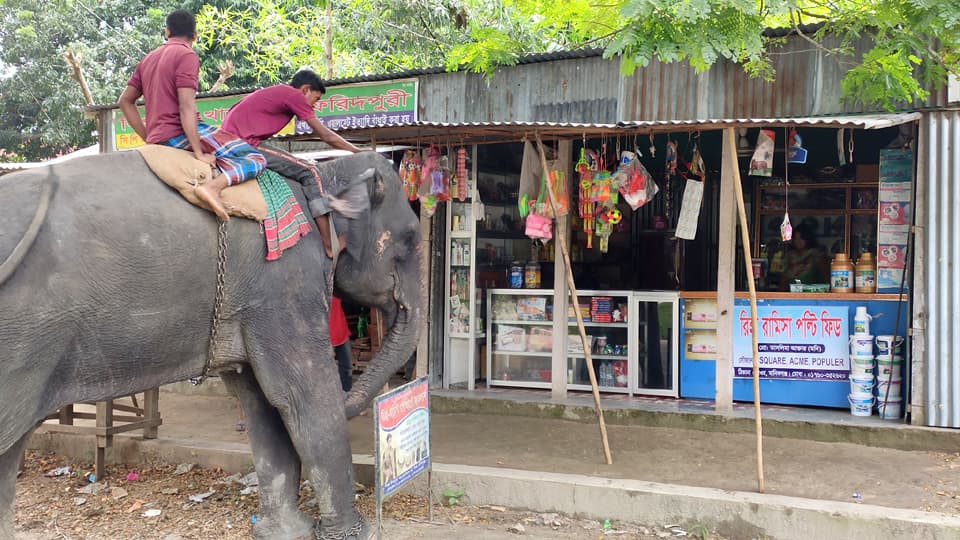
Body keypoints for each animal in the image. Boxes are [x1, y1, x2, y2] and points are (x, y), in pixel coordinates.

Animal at [0, 149, 424, 540]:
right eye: (411, 237)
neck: (325, 174)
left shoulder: (257, 300)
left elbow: (260, 403)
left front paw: (285, 533)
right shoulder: (284, 281)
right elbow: (302, 396)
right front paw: (356, 534)